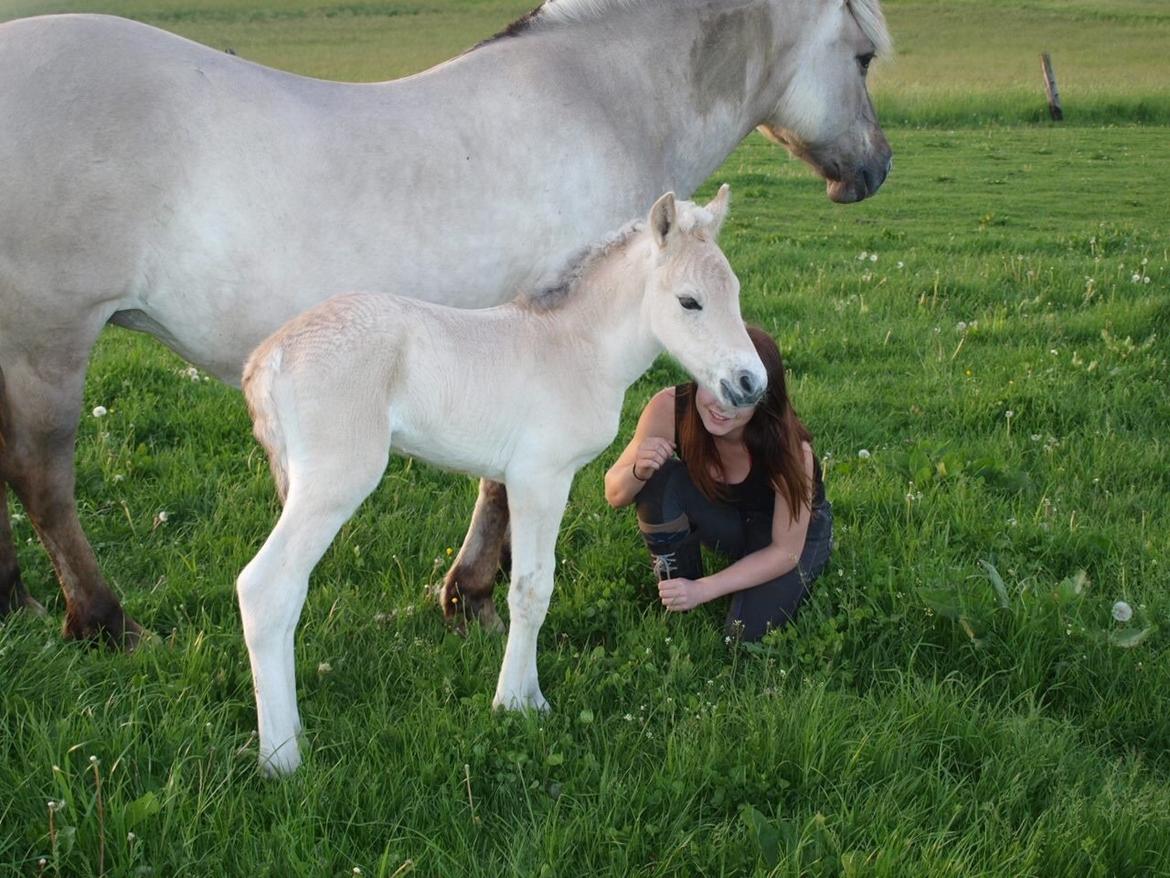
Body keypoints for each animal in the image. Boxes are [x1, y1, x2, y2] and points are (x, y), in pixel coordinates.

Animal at [0, 0, 889, 646]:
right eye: (864, 56)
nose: (875, 168)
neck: (599, 101)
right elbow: (500, 490)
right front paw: (473, 596)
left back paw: (18, 605)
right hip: (49, 345)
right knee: (42, 480)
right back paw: (103, 621)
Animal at [242, 187, 762, 777]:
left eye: (735, 293)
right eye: (689, 302)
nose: (751, 383)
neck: (575, 347)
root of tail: (269, 354)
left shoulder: (522, 480)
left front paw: (527, 692)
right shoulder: (541, 477)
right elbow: (533, 587)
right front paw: (517, 703)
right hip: (335, 482)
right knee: (267, 589)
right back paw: (282, 756)